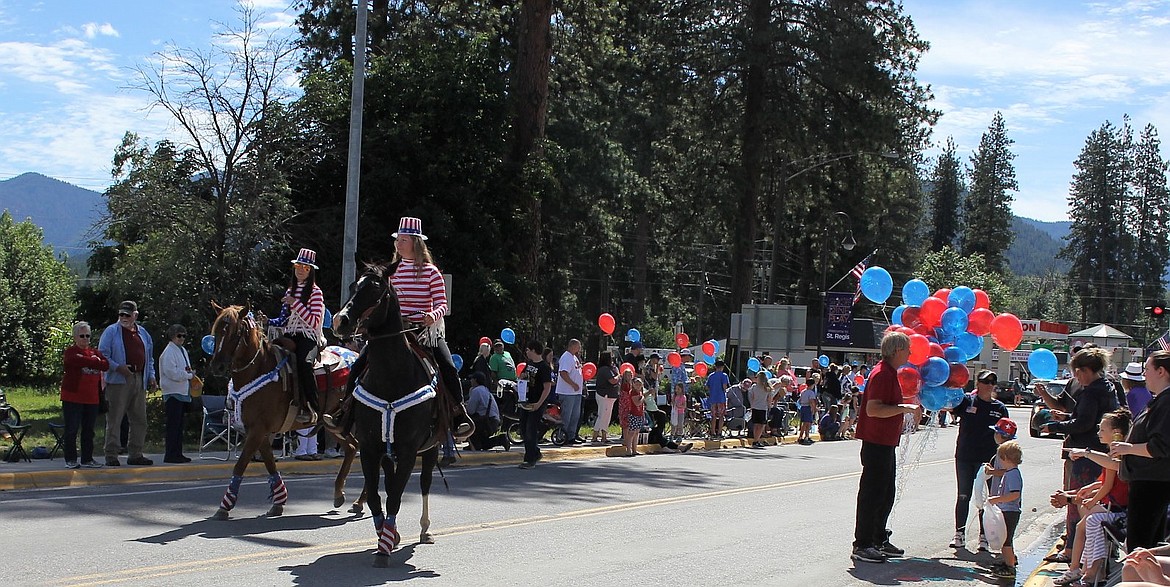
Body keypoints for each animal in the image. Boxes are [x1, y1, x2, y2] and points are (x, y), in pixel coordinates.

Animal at [209, 301, 304, 519]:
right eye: (216, 331)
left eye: (235, 333)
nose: (217, 366)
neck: (260, 369)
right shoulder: (258, 430)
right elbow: (269, 462)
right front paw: (278, 501)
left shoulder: (258, 430)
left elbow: (241, 463)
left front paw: (224, 506)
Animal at [334, 264, 442, 565]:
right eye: (352, 286)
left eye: (376, 291)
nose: (340, 321)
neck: (391, 377)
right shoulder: (370, 448)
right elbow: (376, 496)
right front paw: (387, 536)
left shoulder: (408, 450)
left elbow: (394, 497)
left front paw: (384, 549)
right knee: (392, 481)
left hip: (431, 447)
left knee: (425, 483)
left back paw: (425, 530)